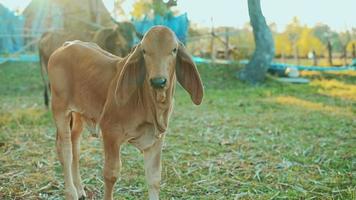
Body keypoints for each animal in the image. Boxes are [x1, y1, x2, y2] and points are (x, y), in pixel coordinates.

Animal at [47, 25, 203, 199]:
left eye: (174, 50)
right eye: (144, 51)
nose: (158, 81)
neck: (149, 105)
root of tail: (65, 46)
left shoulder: (156, 140)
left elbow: (154, 178)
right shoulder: (110, 132)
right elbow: (111, 174)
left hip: (79, 114)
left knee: (75, 146)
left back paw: (80, 189)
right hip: (60, 108)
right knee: (65, 150)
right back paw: (72, 192)